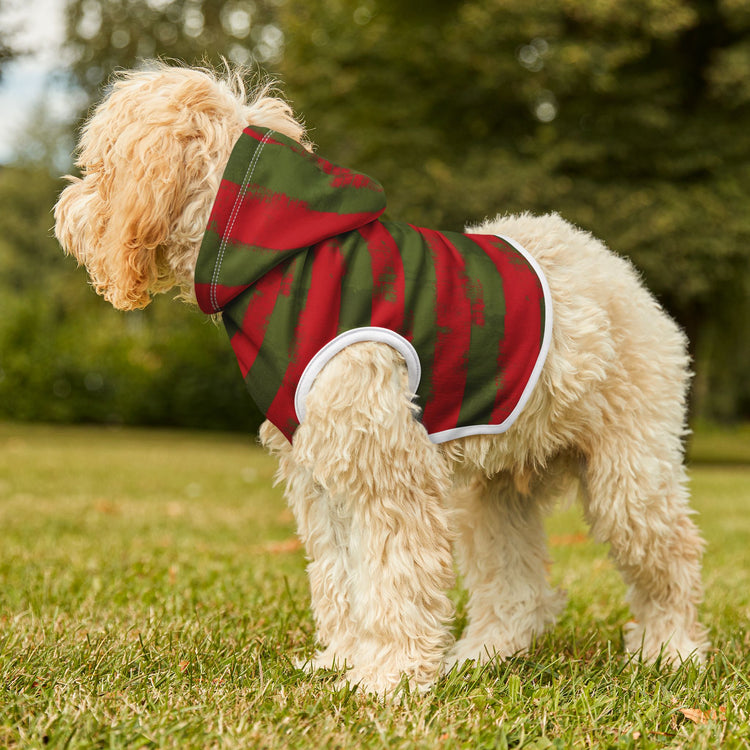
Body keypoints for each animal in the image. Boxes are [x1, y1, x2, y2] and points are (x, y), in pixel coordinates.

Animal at [55, 64, 708, 700]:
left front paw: (387, 677)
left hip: (630, 476)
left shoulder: (386, 469)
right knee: (517, 589)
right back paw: (483, 655)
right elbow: (341, 578)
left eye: (99, 165)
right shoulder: (321, 473)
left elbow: (394, 577)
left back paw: (670, 651)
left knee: (672, 560)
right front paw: (343, 661)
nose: (64, 212)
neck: (281, 258)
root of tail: (618, 271)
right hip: (495, 493)